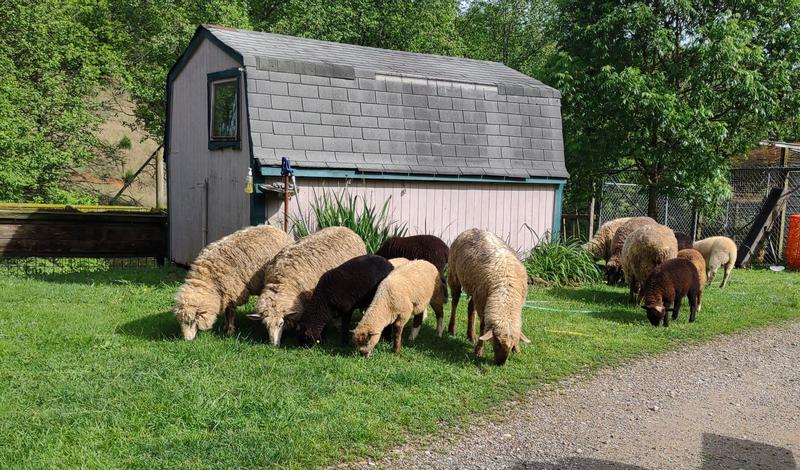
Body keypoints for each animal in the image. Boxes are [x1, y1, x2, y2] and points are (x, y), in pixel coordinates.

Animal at [447, 228, 530, 365]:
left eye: (512, 343)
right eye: (497, 343)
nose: (500, 363)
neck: (505, 292)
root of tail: (472, 229)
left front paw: (517, 349)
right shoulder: (483, 303)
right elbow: (483, 327)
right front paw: (479, 351)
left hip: (476, 290)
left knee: (471, 307)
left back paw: (471, 335)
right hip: (454, 275)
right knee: (455, 302)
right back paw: (451, 329)